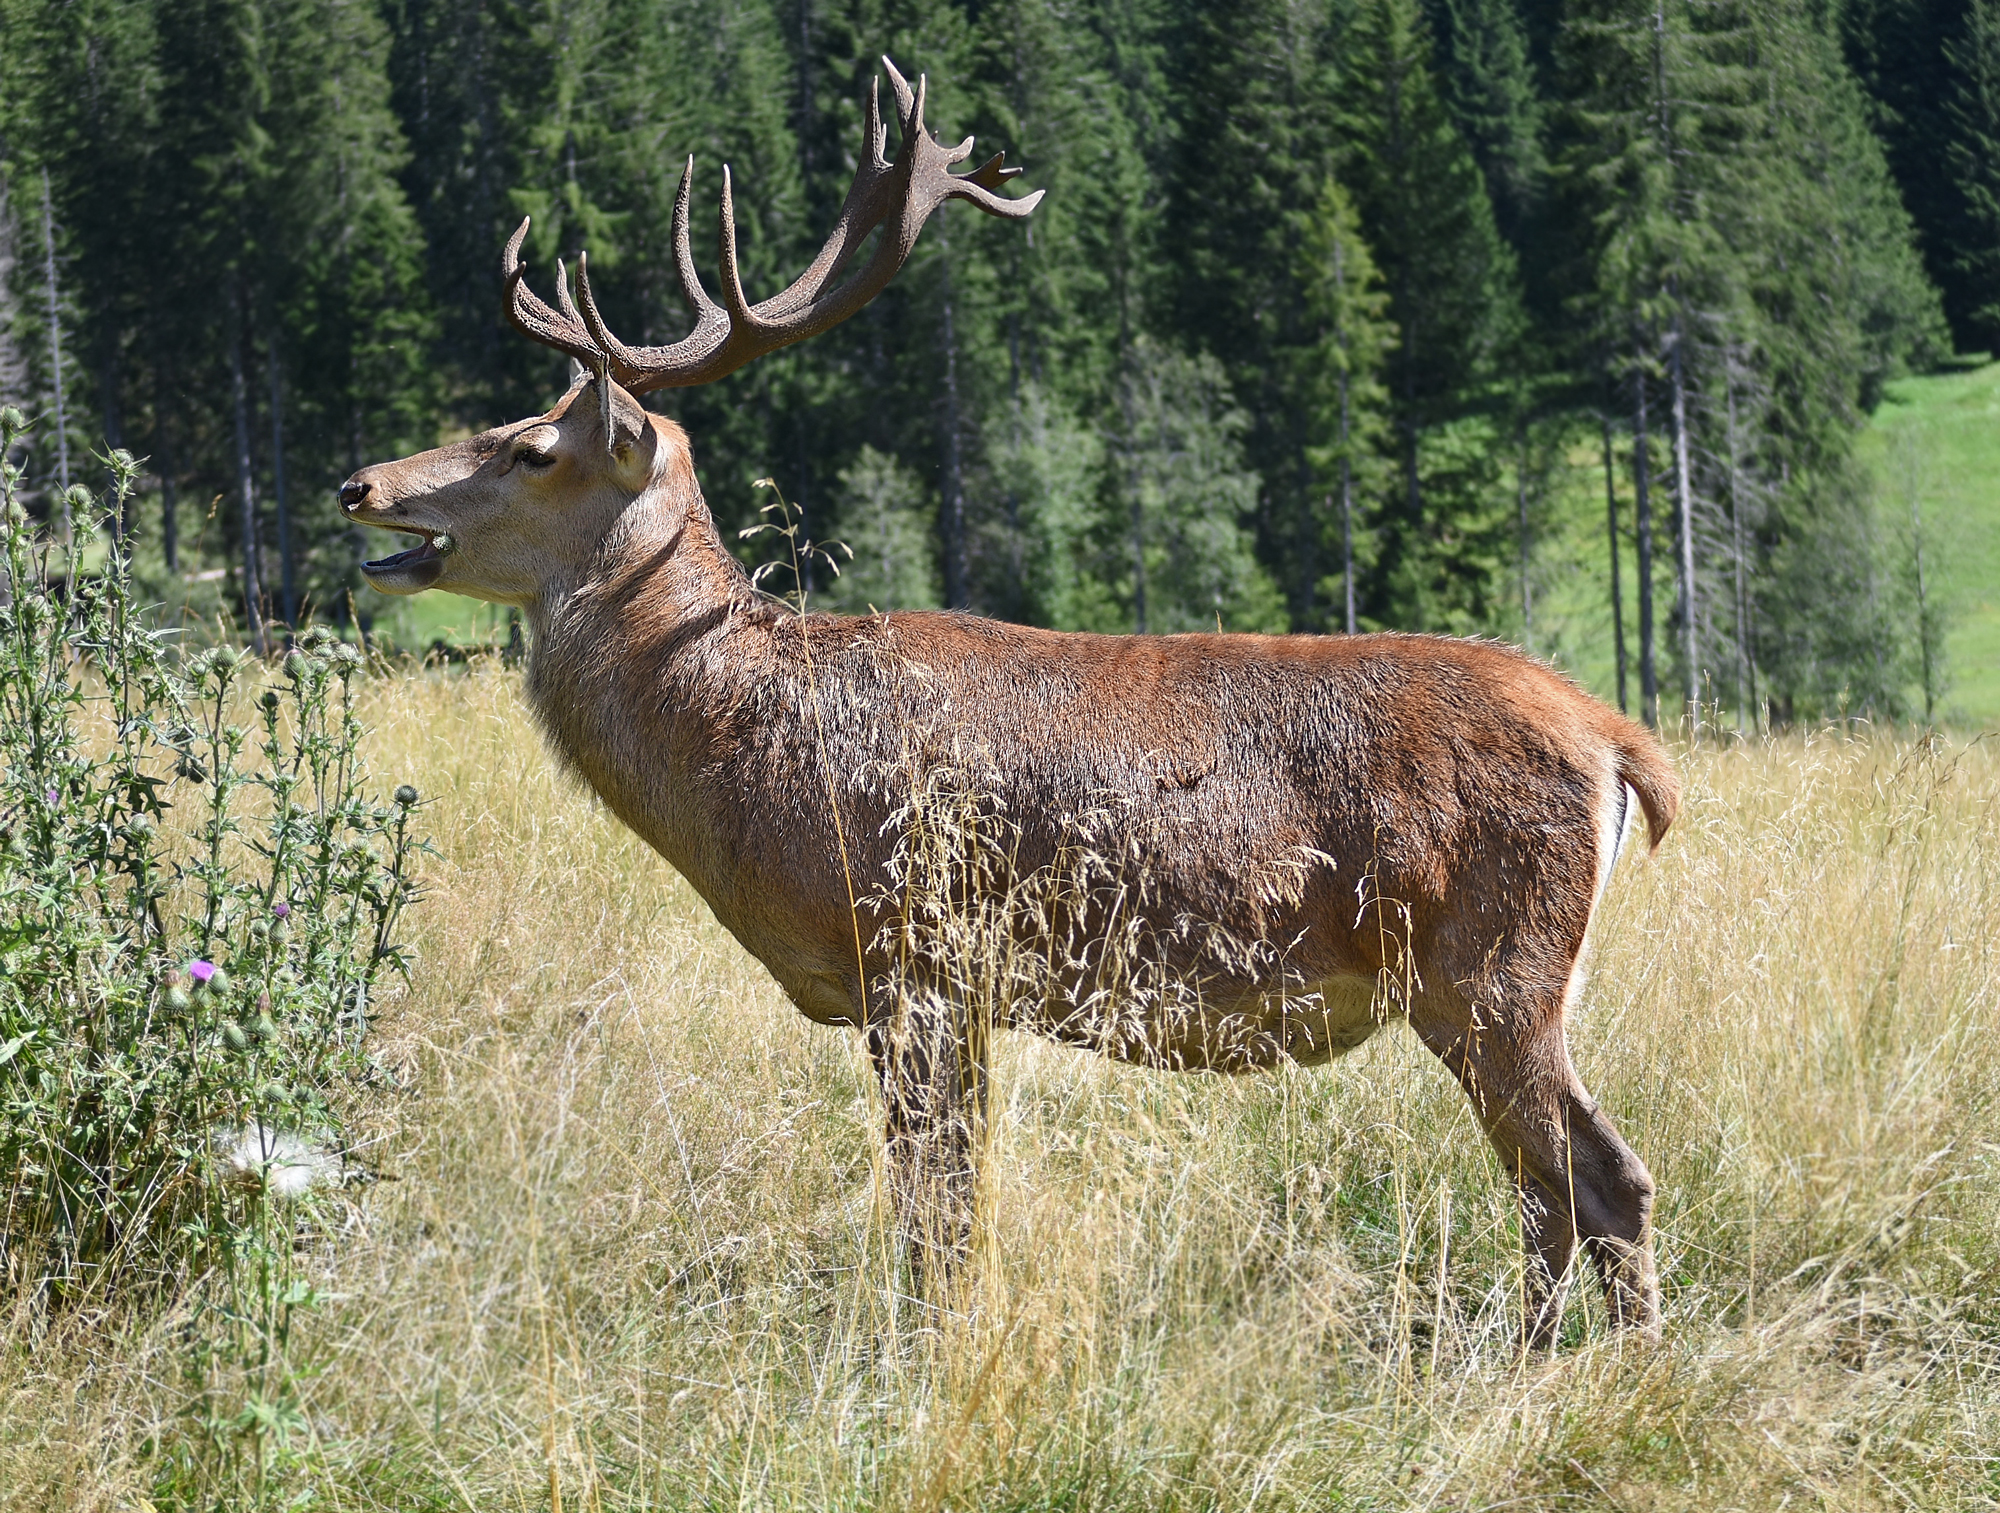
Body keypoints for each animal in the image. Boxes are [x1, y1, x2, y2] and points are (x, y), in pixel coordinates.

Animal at [338, 59, 1680, 1350]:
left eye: (530, 448)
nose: (359, 483)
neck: (739, 750)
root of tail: (1618, 744)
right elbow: (952, 1203)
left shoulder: (915, 947)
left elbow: (933, 1213)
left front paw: (922, 1357)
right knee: (1547, 1190)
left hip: (1493, 964)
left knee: (1599, 1178)